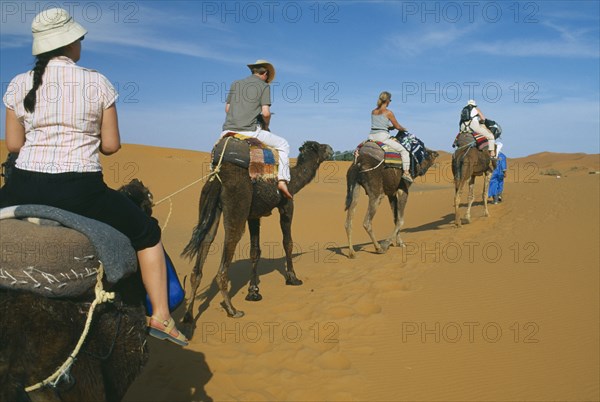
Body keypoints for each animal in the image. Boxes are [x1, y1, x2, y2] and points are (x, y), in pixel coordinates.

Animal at [182, 140, 332, 322]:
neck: (293, 180)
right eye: (321, 147)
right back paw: (233, 310)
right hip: (236, 206)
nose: (331, 149)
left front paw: (253, 292)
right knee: (229, 245)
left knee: (205, 242)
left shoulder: (254, 216)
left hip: (209, 206)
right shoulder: (287, 205)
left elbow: (255, 251)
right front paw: (293, 278)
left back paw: (188, 316)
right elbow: (287, 242)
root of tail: (219, 180)